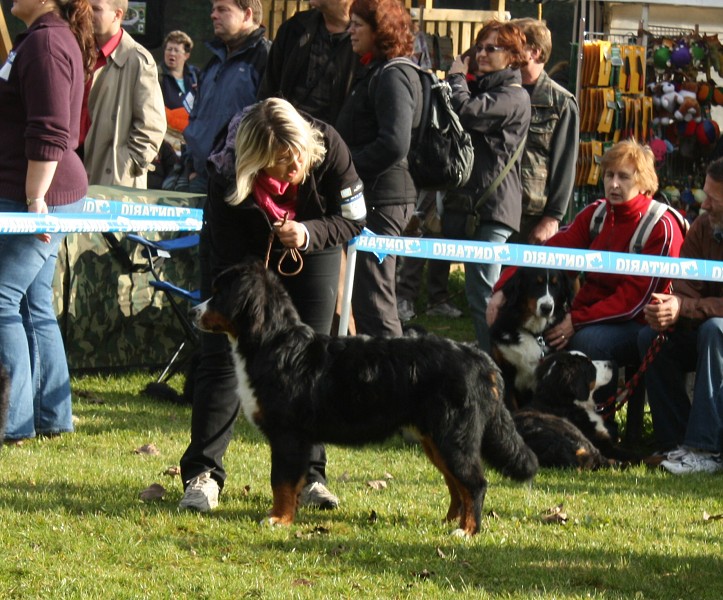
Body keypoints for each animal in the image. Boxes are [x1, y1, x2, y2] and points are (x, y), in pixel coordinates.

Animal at [192, 260, 536, 536]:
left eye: (219, 293)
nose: (192, 310)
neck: (273, 344)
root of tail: (480, 359)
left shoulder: (289, 436)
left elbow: (282, 482)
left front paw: (278, 519)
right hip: (437, 439)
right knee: (456, 484)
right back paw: (451, 522)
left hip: (454, 436)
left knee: (474, 483)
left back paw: (467, 531)